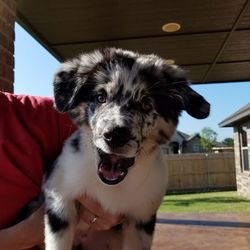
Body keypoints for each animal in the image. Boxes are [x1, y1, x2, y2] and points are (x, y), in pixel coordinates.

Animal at [43, 47, 209, 249]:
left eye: (146, 104)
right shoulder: (60, 202)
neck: (111, 187)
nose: (115, 135)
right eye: (100, 97)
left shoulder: (141, 218)